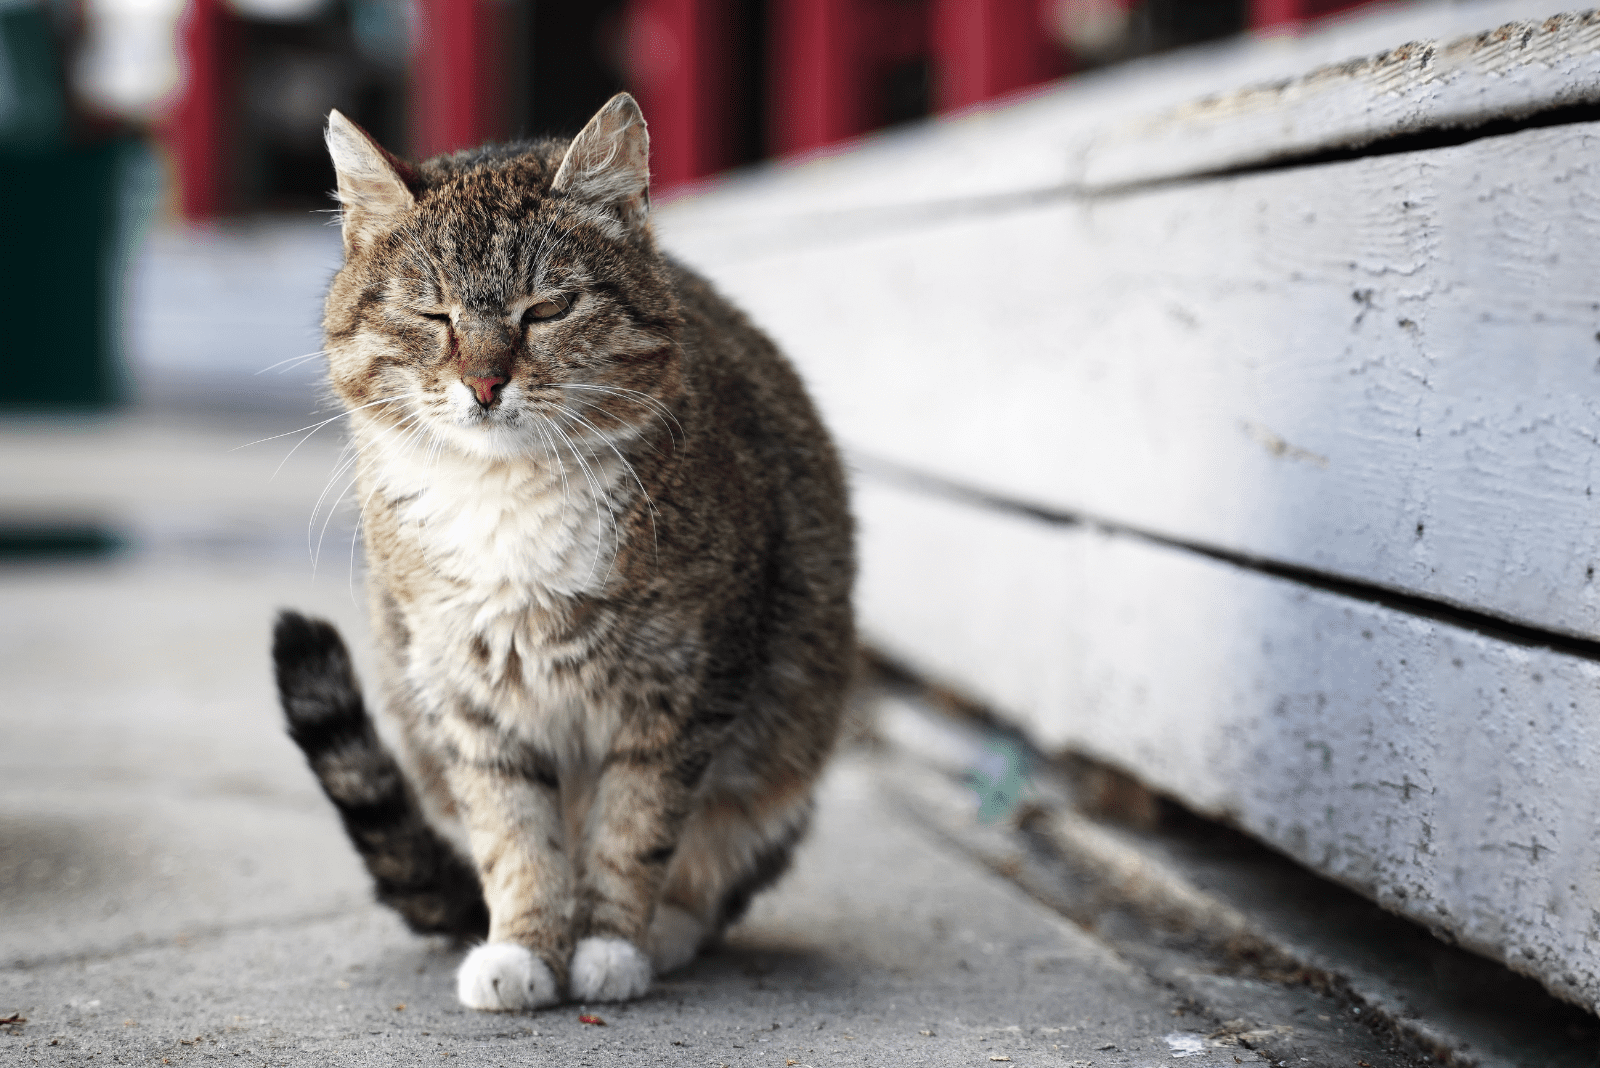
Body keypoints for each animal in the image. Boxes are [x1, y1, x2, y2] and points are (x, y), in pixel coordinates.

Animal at [268, 91, 857, 1010]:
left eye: (546, 309)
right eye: (434, 314)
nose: (484, 384)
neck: (509, 495)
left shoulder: (684, 685)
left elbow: (634, 826)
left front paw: (612, 945)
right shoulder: (465, 695)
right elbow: (514, 834)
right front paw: (522, 948)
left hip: (788, 736)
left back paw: (670, 931)